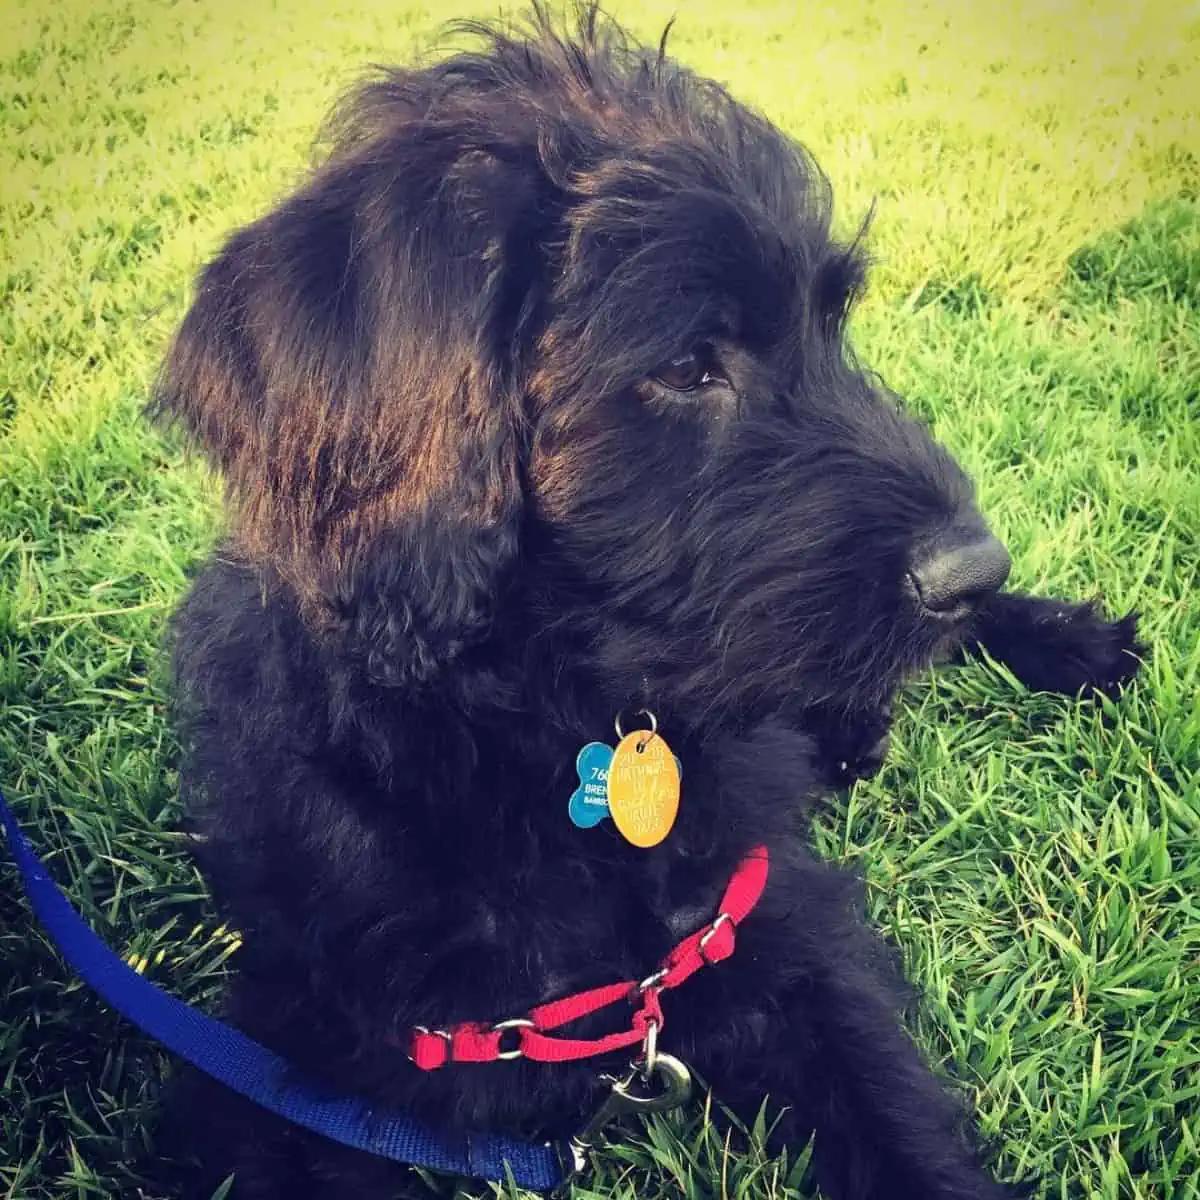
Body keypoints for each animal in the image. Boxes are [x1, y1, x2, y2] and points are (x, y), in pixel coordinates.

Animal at [154, 4, 1137, 1195]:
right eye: (685, 365)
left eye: (831, 325)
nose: (972, 566)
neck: (540, 727)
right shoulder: (292, 1062)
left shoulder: (778, 931)